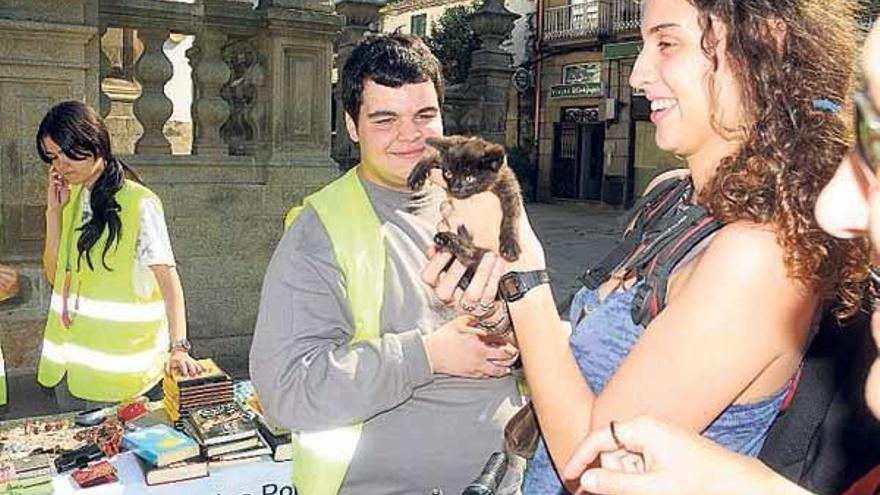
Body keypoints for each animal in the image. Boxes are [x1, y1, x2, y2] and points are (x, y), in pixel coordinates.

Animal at [408, 136, 524, 272]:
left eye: (469, 178)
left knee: (472, 255)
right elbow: (433, 157)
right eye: (448, 174)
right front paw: (416, 175)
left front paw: (510, 244)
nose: (455, 188)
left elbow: (511, 217)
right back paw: (447, 239)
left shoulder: (509, 188)